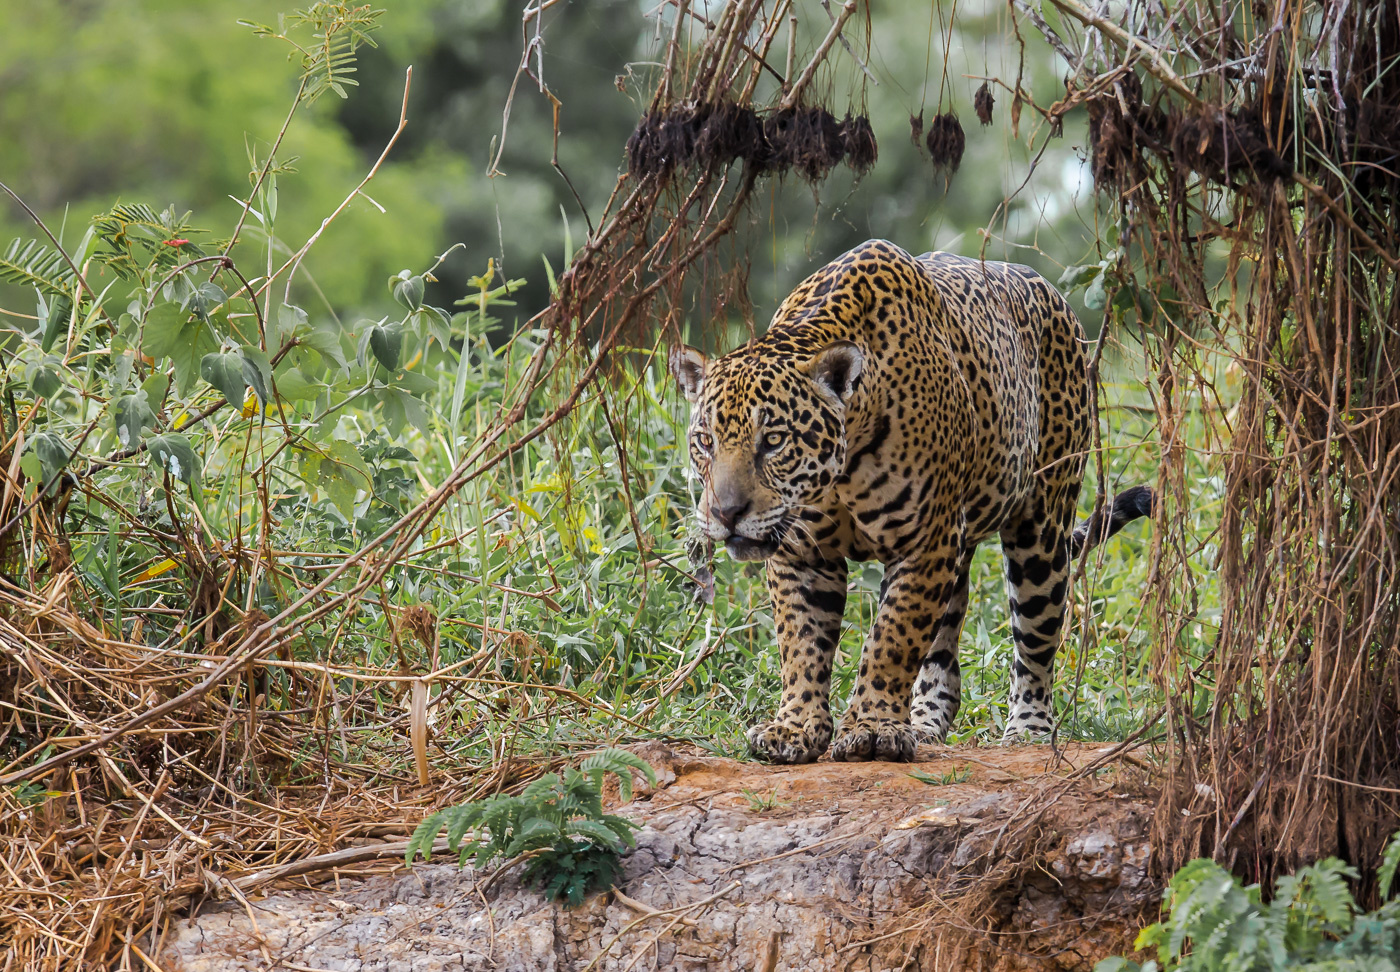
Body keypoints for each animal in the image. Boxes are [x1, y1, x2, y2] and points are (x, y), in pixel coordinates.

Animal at [672, 239, 1153, 764]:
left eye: (774, 440)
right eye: (705, 441)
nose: (725, 513)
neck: (842, 466)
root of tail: (1055, 295)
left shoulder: (925, 543)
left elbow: (893, 638)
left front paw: (871, 729)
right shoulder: (801, 553)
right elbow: (801, 644)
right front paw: (795, 729)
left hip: (1041, 530)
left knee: (1036, 642)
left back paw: (1027, 728)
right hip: (958, 552)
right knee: (943, 648)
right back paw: (923, 724)